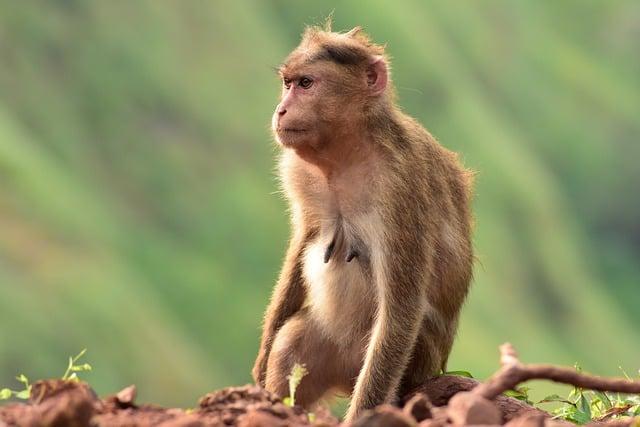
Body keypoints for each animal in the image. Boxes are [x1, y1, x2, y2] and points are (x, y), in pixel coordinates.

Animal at [252, 23, 472, 422]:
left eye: (306, 83)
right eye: (288, 83)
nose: (281, 110)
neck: (346, 155)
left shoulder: (402, 186)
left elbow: (402, 308)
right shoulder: (297, 171)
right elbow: (303, 242)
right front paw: (258, 372)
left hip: (411, 364)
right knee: (293, 339)